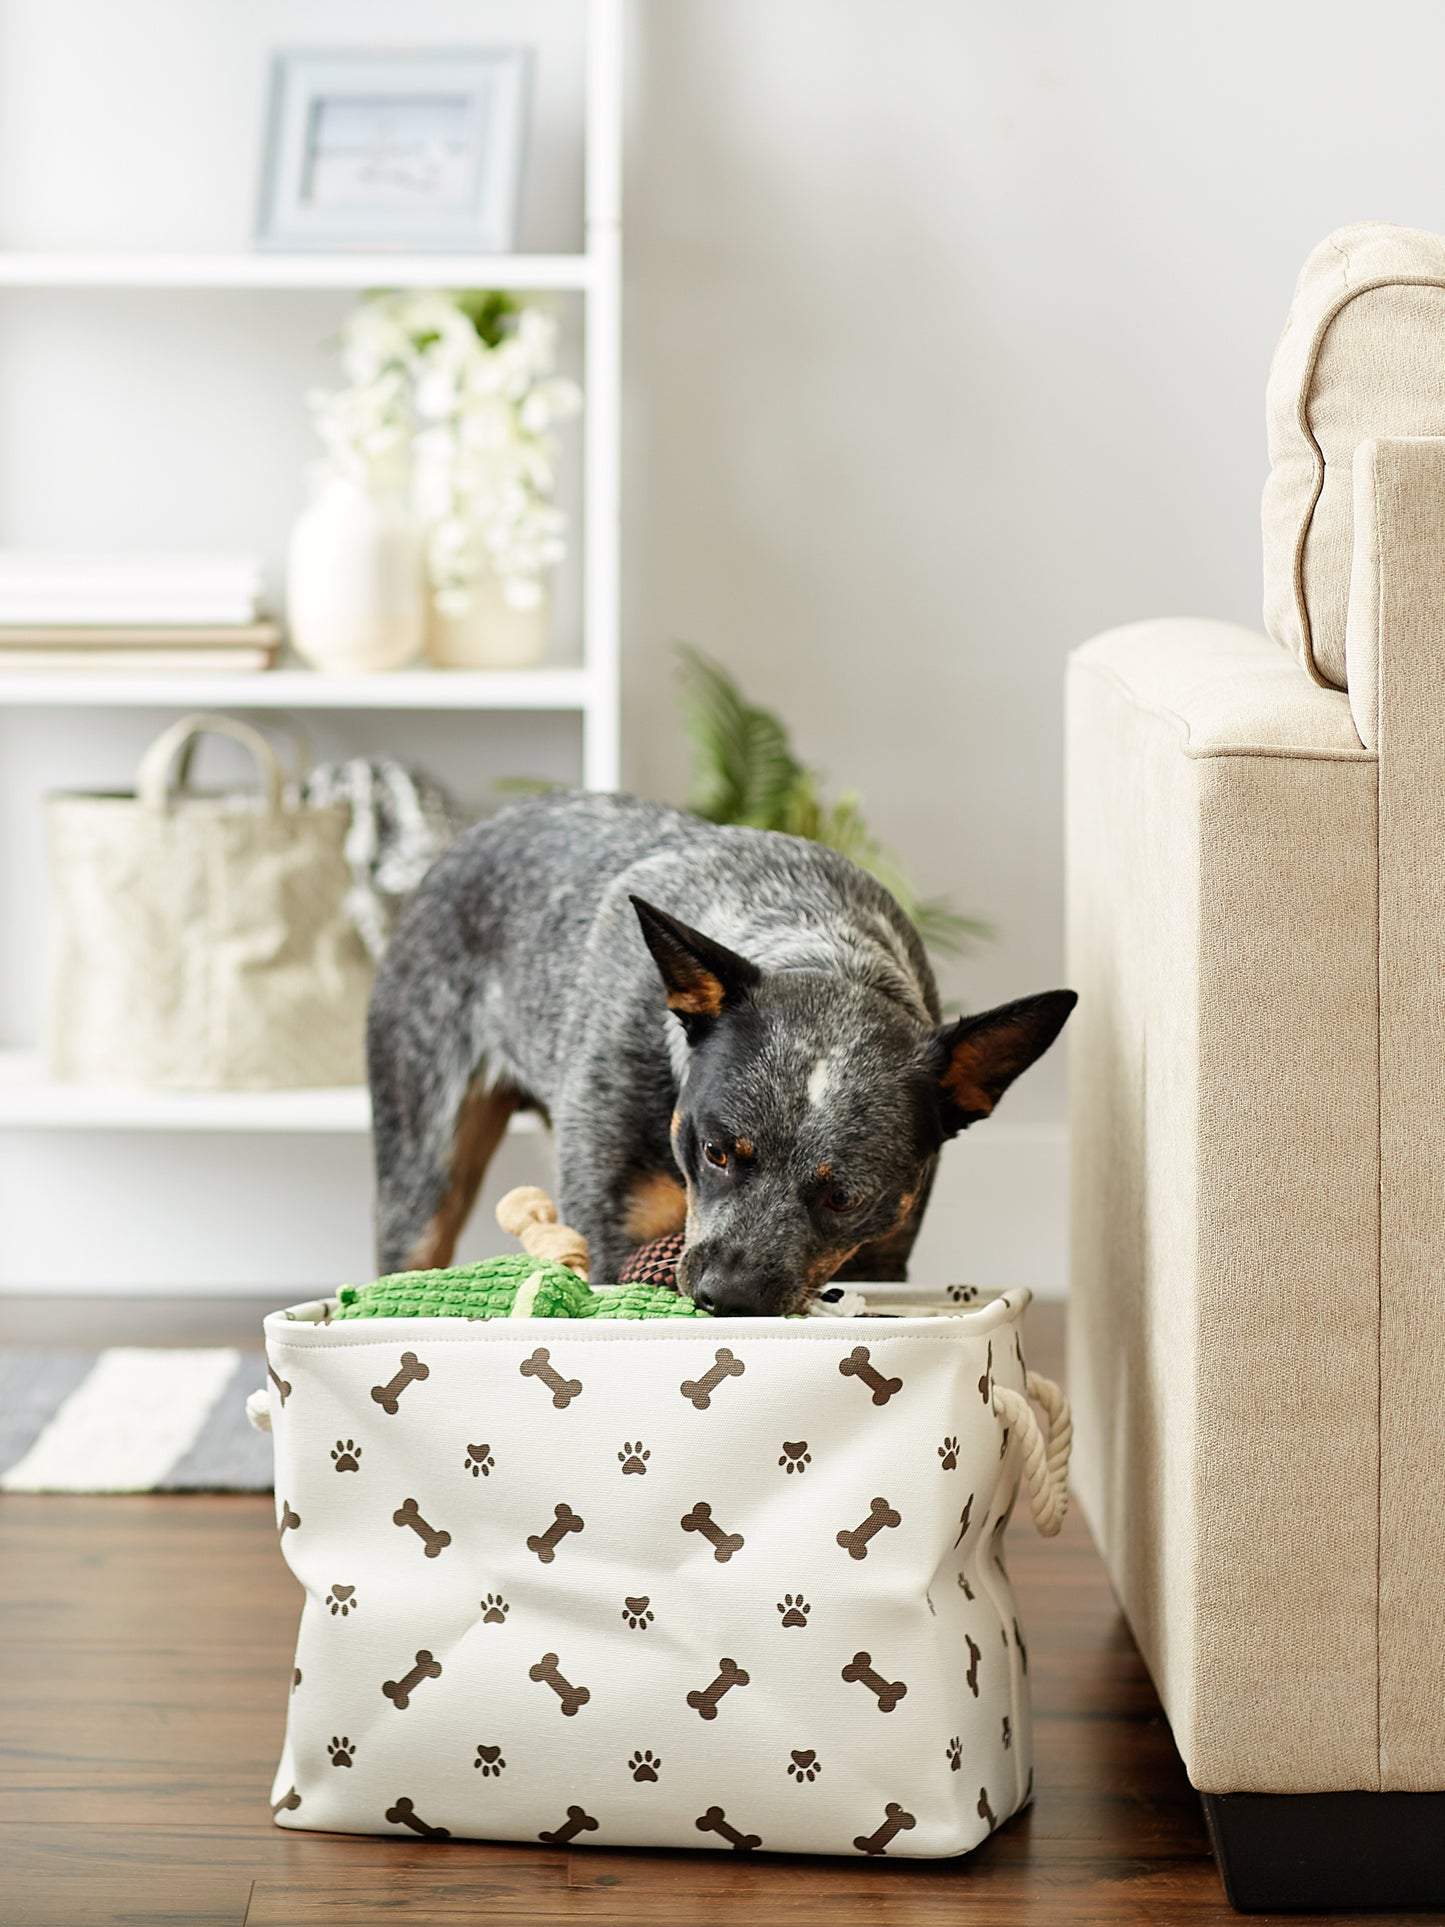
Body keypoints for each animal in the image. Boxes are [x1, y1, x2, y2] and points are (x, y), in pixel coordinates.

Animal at [369, 790, 1078, 1318]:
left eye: (844, 1198)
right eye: (716, 1152)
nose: (725, 1297)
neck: (822, 945)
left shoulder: (885, 1256)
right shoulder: (610, 1230)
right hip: (422, 1171)